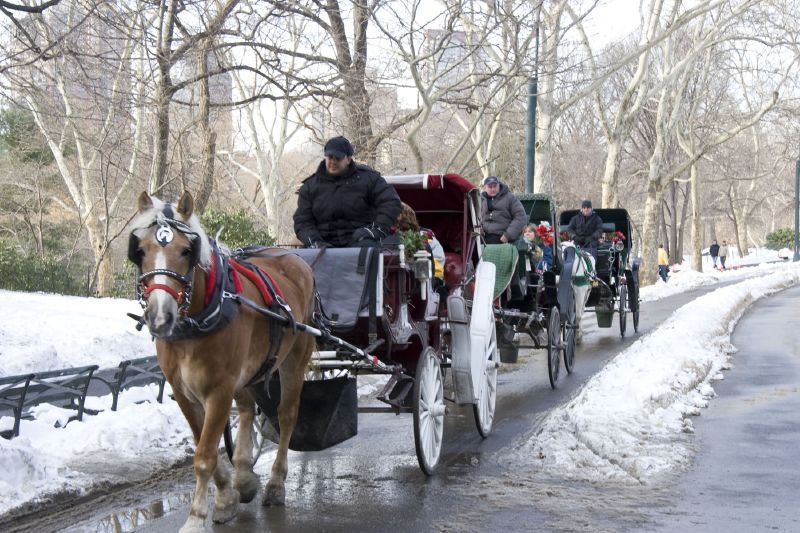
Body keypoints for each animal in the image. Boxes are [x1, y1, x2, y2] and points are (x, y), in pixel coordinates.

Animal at [126, 191, 314, 532]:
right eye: (141, 250)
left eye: (186, 251)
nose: (160, 317)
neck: (196, 322)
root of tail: (292, 258)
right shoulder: (183, 392)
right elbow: (204, 443)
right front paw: (227, 496)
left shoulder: (219, 389)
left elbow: (205, 456)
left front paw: (195, 517)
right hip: (248, 370)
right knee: (248, 408)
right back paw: (244, 475)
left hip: (294, 357)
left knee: (287, 415)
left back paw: (275, 483)